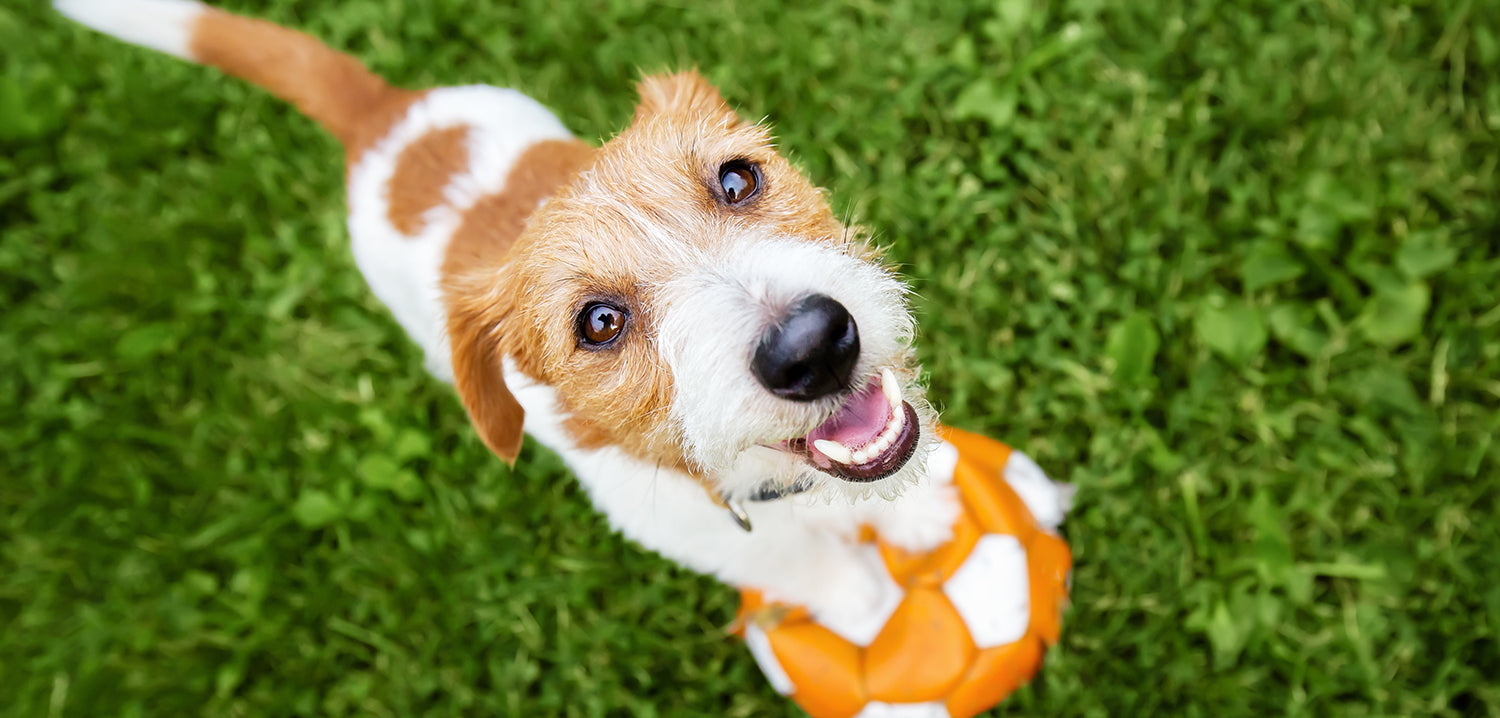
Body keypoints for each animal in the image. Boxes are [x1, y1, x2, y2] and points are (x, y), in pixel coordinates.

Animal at [58, 2, 1068, 638]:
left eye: (736, 177)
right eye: (599, 324)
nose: (814, 347)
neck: (763, 482)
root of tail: (385, 116)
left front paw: (924, 520)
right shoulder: (696, 533)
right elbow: (811, 571)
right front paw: (868, 604)